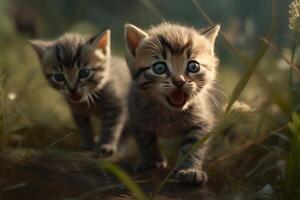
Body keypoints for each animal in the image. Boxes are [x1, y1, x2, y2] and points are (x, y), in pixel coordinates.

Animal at [123, 22, 220, 185]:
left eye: (193, 66)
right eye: (159, 68)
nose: (179, 81)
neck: (169, 112)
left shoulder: (202, 120)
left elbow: (193, 146)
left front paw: (189, 170)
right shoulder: (137, 116)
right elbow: (146, 141)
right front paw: (151, 161)